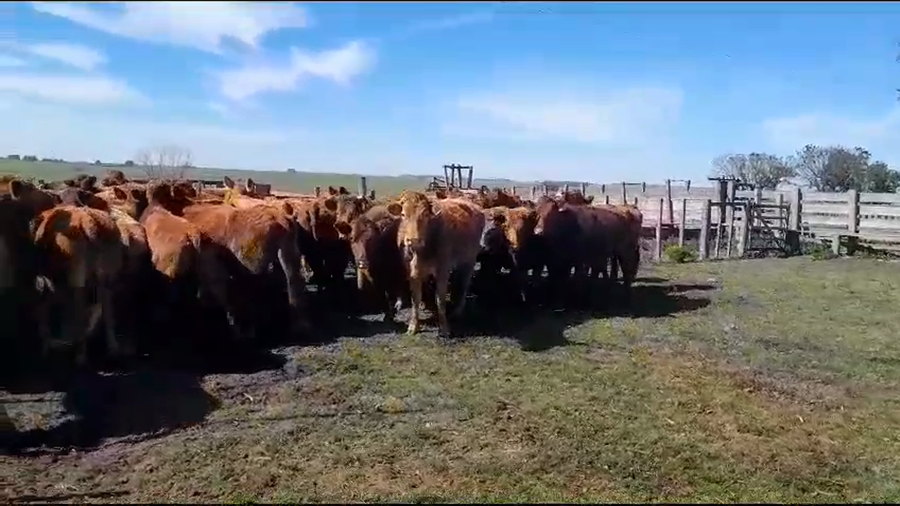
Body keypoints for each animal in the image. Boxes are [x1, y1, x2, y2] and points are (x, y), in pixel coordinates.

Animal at [388, 190, 485, 337]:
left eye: (425, 215)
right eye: (403, 214)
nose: (413, 240)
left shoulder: (442, 271)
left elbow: (440, 300)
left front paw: (444, 328)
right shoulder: (412, 273)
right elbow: (415, 299)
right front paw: (413, 326)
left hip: (469, 260)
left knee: (464, 284)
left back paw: (457, 311)